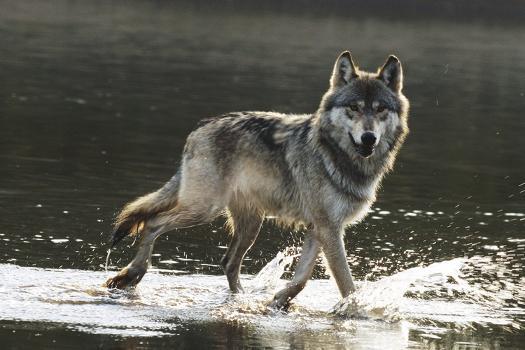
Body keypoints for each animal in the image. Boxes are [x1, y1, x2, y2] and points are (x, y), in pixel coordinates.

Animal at [104, 50, 410, 308]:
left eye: (380, 109)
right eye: (354, 108)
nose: (369, 138)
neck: (337, 156)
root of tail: (199, 129)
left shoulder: (320, 228)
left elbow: (301, 279)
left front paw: (279, 301)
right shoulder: (329, 229)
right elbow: (347, 284)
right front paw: (357, 313)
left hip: (250, 225)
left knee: (228, 262)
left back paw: (241, 298)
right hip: (204, 210)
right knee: (153, 223)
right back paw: (131, 275)